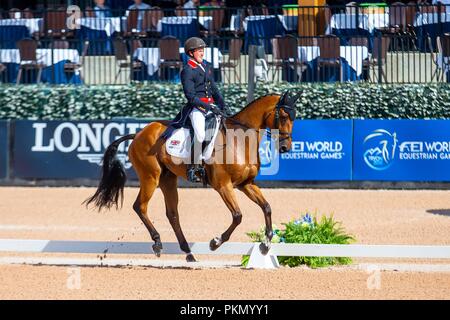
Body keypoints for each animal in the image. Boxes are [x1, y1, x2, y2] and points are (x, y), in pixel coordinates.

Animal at [86, 90, 300, 262]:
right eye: (283, 116)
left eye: (294, 117)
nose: (285, 147)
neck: (239, 139)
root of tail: (138, 134)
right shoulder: (223, 185)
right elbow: (238, 216)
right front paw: (215, 242)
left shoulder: (246, 184)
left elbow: (267, 207)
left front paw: (265, 244)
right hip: (150, 177)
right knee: (140, 206)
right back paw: (158, 243)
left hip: (168, 180)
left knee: (172, 214)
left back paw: (188, 252)